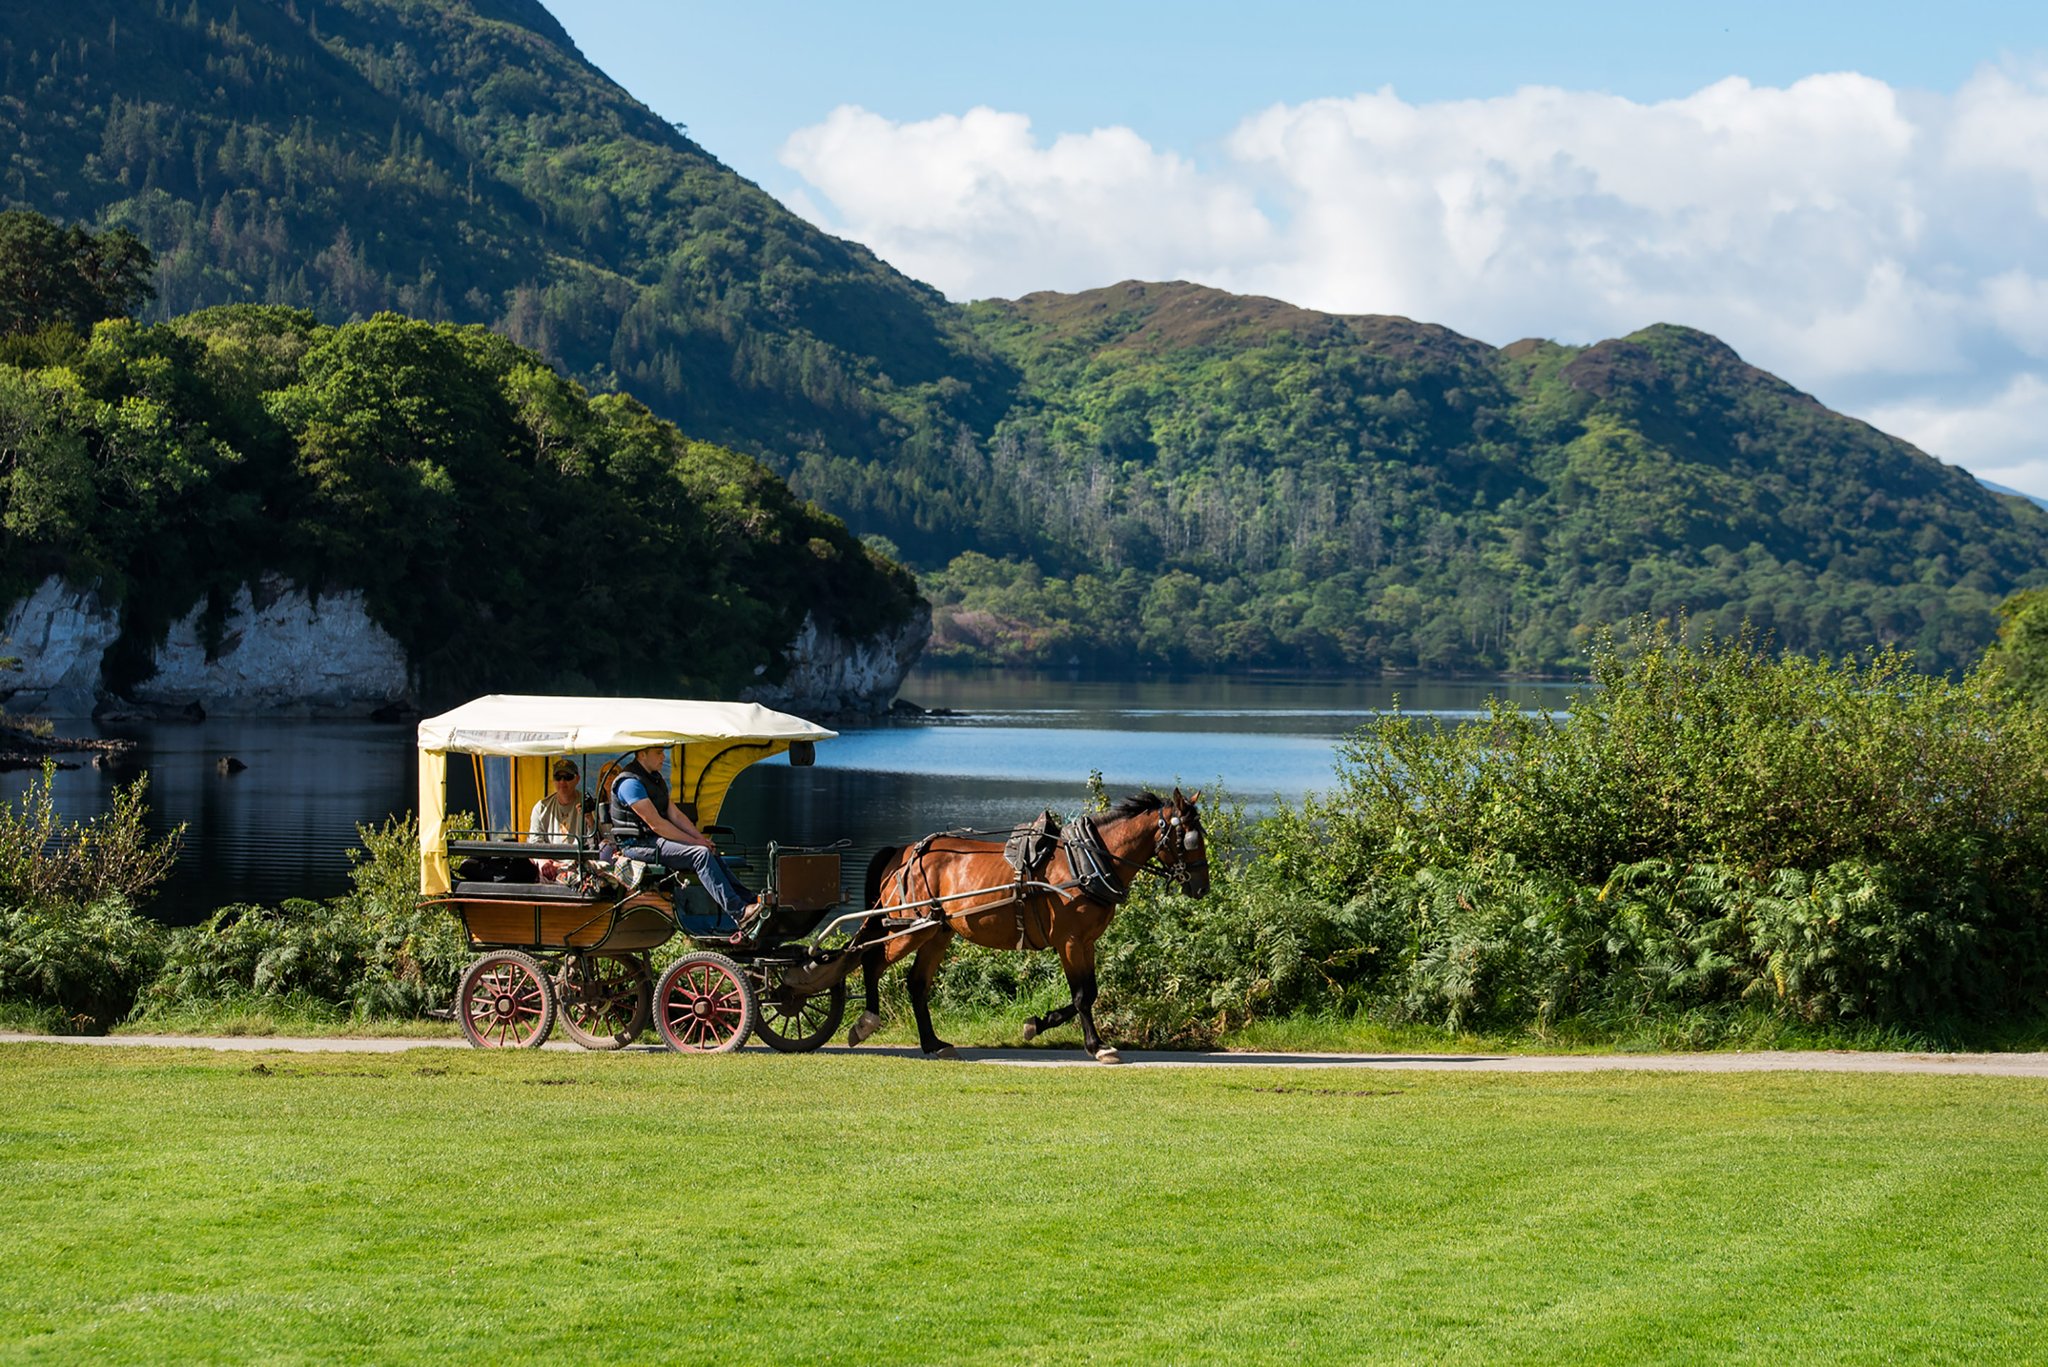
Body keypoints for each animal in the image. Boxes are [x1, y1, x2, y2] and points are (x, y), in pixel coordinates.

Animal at [843, 786, 1204, 1065]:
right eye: (1189, 840)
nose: (1202, 886)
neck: (1088, 862)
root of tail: (903, 852)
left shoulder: (1086, 942)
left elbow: (1088, 993)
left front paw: (1037, 1023)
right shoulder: (1070, 941)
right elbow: (1082, 995)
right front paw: (1097, 1046)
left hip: (936, 930)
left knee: (916, 984)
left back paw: (934, 1044)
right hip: (909, 927)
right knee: (871, 960)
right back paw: (866, 1022)